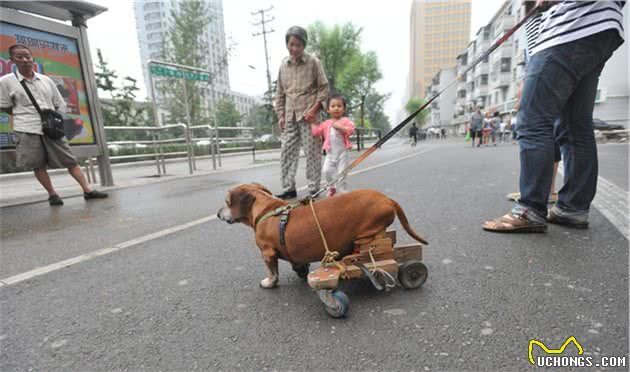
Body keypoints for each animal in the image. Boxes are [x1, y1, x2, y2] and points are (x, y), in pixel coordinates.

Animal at [217, 182, 430, 290]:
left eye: (227, 202)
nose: (218, 214)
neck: (266, 209)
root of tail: (387, 199)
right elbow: (297, 263)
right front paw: (301, 271)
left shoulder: (267, 253)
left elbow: (273, 271)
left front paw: (269, 283)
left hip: (366, 235)